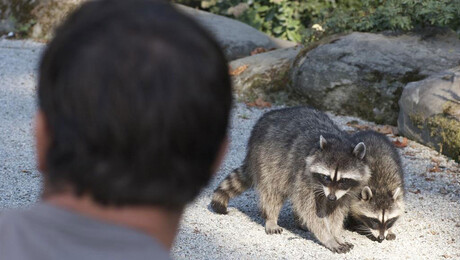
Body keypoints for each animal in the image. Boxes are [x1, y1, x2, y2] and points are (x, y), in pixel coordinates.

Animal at [211, 106, 370, 253]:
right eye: (326, 177)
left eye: (343, 180)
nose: (331, 197)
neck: (337, 141)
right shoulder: (303, 175)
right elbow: (308, 209)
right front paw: (328, 237)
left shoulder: (346, 191)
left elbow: (336, 211)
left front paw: (336, 234)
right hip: (266, 161)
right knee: (272, 192)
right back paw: (271, 218)